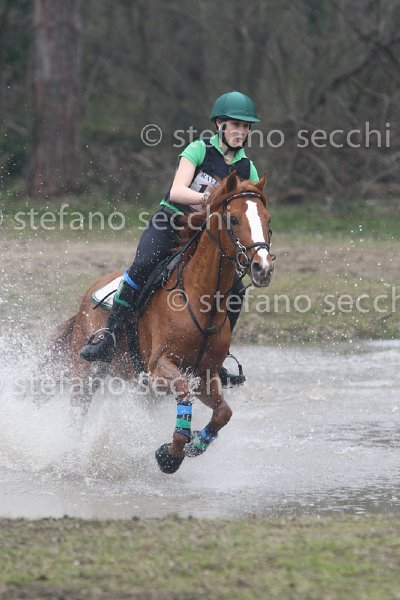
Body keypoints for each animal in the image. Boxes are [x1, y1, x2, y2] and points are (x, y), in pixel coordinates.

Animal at [53, 171, 274, 473]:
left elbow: (223, 413)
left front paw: (195, 444)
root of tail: (89, 292)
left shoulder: (206, 375)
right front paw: (170, 455)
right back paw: (71, 457)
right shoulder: (158, 369)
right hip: (86, 371)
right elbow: (183, 390)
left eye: (268, 220)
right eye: (233, 219)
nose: (263, 268)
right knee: (78, 412)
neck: (200, 300)